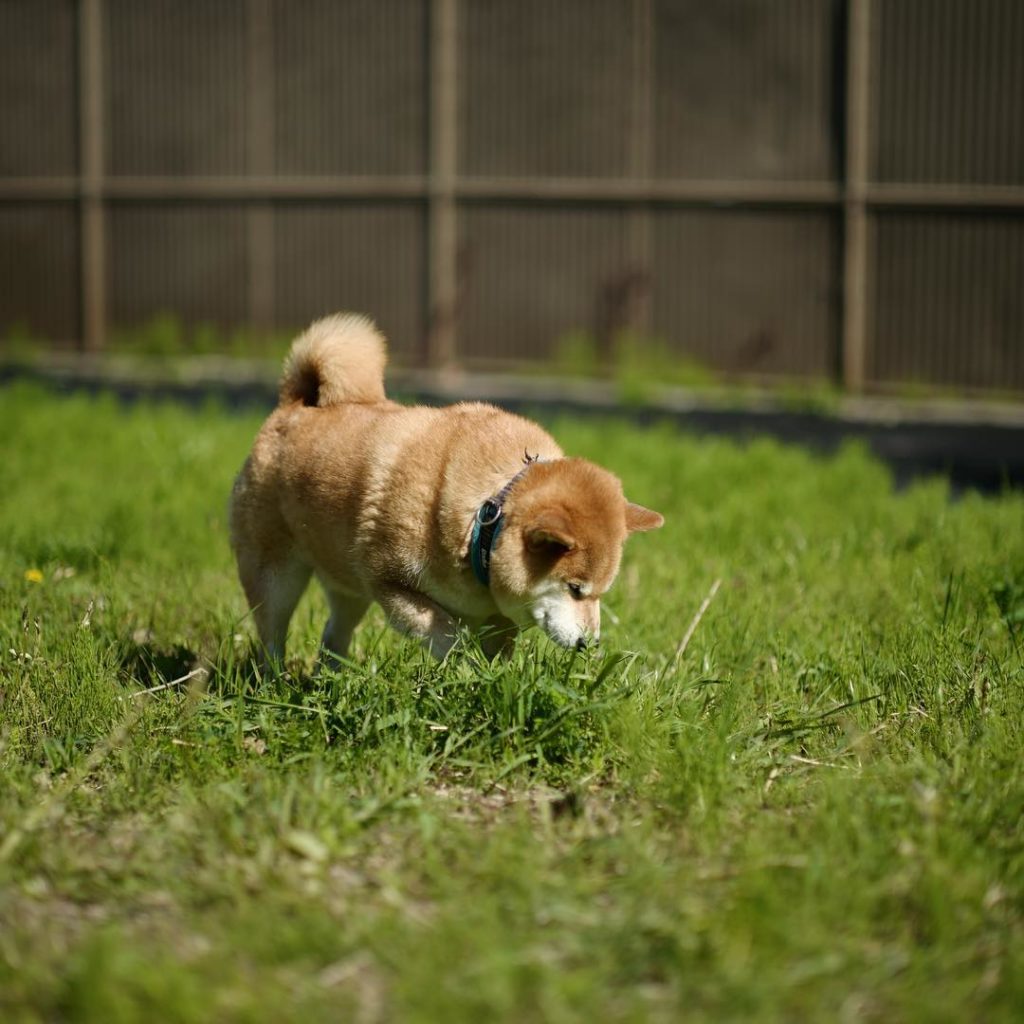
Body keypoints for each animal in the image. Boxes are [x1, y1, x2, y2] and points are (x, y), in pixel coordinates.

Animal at [230, 313, 663, 663]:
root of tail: (294, 405)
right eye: (575, 589)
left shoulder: (494, 617)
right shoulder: (389, 581)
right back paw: (274, 684)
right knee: (271, 634)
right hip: (277, 574)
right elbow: (444, 633)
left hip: (346, 587)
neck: (486, 518)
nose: (590, 645)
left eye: (601, 593)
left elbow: (496, 655)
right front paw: (461, 667)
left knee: (334, 635)